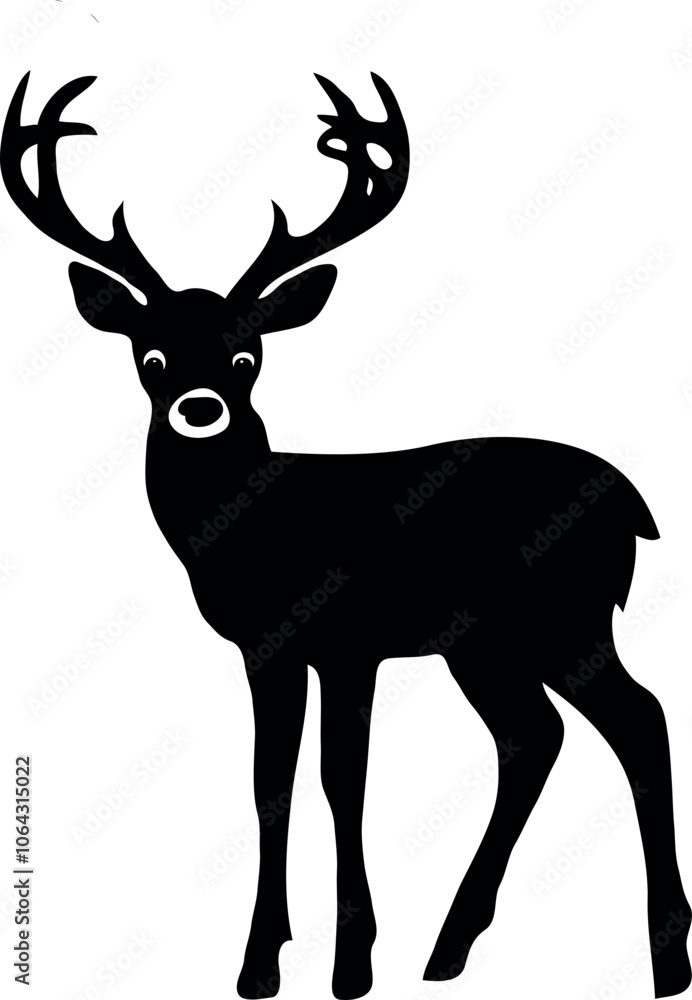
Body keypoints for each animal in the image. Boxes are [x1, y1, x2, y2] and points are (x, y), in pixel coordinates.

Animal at [2, 70, 690, 1000]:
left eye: (247, 355)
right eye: (150, 356)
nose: (199, 408)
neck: (256, 527)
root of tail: (636, 506)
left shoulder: (346, 639)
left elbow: (342, 781)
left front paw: (351, 962)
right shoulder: (270, 646)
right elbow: (272, 782)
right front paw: (265, 962)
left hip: (564, 616)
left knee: (639, 719)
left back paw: (666, 957)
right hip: (486, 644)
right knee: (533, 737)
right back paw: (450, 947)